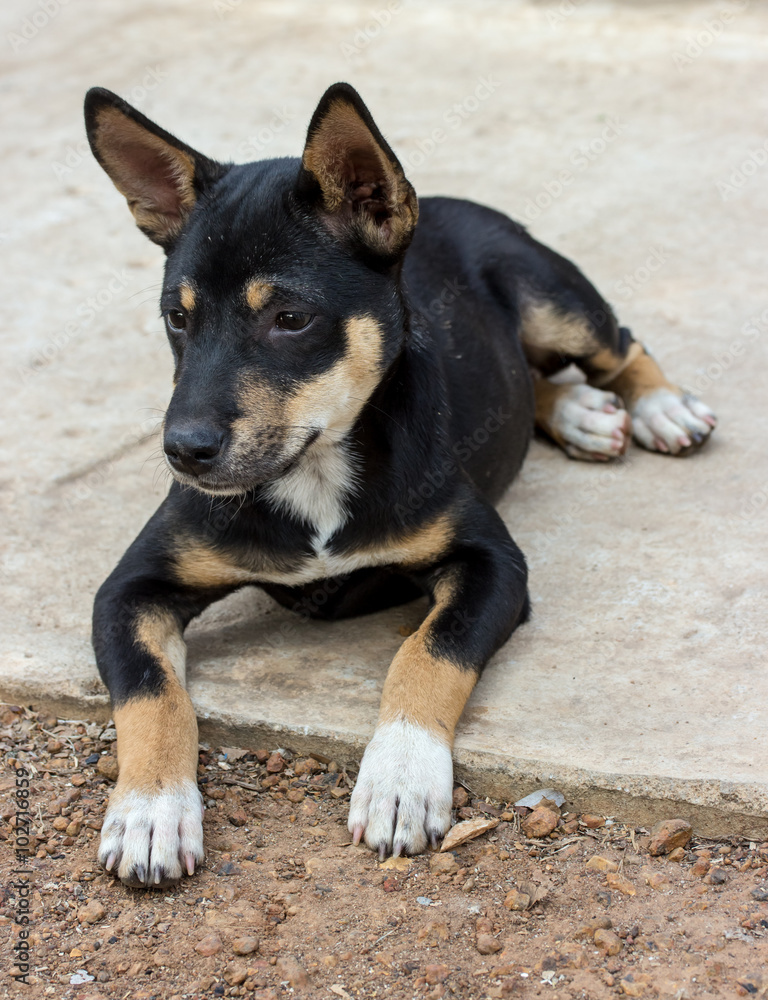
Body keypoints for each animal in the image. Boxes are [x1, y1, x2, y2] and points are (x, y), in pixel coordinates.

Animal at [84, 82, 712, 888]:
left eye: (291, 318)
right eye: (175, 318)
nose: (183, 452)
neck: (318, 467)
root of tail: (438, 202)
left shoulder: (491, 562)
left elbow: (428, 653)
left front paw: (401, 777)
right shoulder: (129, 589)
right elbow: (150, 691)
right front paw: (151, 809)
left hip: (555, 300)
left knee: (620, 345)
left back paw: (660, 406)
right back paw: (577, 412)